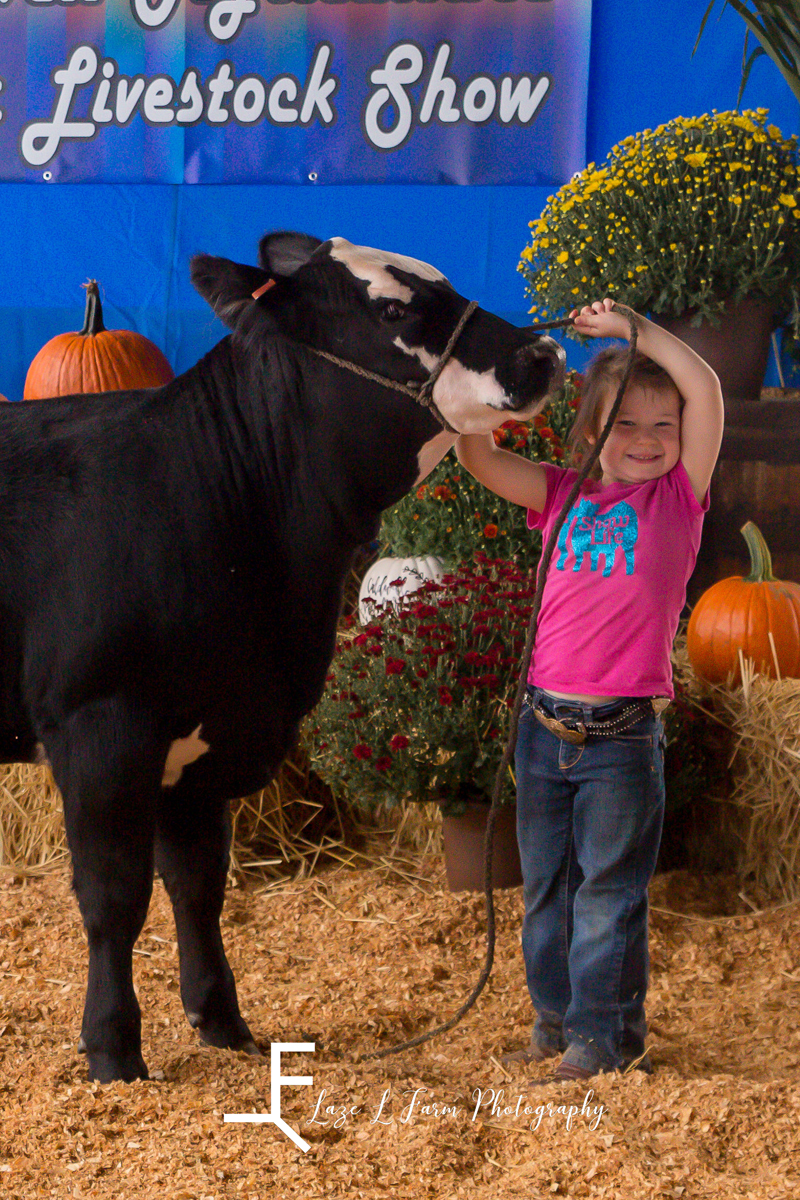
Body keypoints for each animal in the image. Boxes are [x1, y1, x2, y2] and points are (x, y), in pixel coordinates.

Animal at [0, 229, 566, 1084]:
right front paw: (112, 1048)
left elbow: (198, 884)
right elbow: (113, 895)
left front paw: (221, 1021)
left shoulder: (204, 741)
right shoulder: (101, 726)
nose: (541, 353)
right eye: (393, 310)